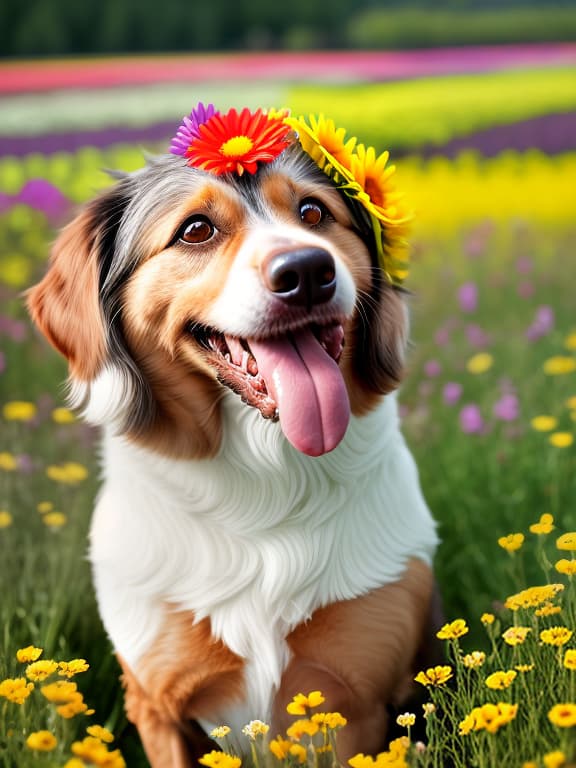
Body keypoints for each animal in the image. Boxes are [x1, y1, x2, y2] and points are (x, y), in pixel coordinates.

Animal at [28, 105, 436, 764]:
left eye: (313, 213)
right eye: (196, 230)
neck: (268, 476)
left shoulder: (357, 700)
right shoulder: (158, 706)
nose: (308, 270)